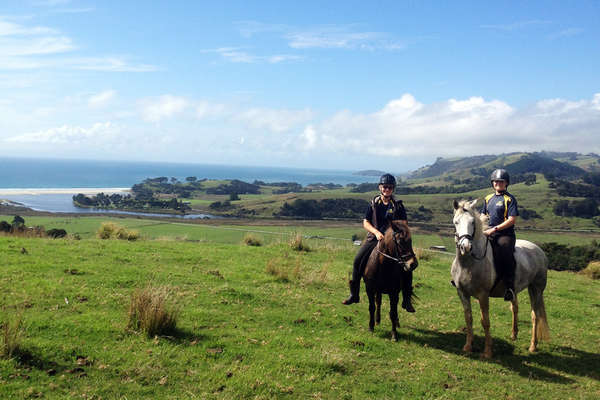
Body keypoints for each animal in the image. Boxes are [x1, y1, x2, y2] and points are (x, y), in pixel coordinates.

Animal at [450, 200, 548, 360]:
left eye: (472, 222)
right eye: (456, 222)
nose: (466, 247)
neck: (469, 263)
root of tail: (538, 250)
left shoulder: (483, 295)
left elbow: (485, 322)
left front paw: (488, 351)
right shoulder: (462, 293)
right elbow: (468, 318)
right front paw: (468, 346)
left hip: (536, 289)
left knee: (535, 315)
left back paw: (533, 346)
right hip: (516, 290)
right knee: (515, 308)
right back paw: (514, 335)